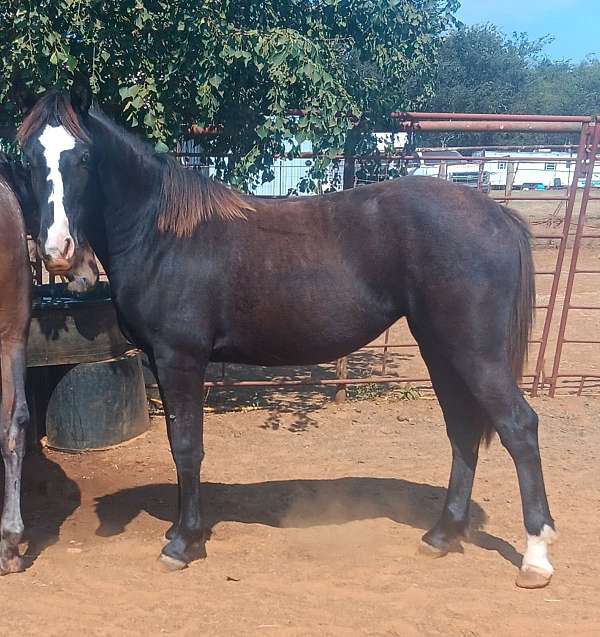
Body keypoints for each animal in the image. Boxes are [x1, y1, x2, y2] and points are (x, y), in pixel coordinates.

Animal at [16, 89, 556, 588]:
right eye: (29, 159)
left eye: (83, 158)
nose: (58, 251)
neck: (162, 236)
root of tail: (497, 216)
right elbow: (178, 443)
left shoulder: (179, 359)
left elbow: (187, 446)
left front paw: (184, 542)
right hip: (440, 349)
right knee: (462, 430)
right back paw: (443, 535)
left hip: (475, 354)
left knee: (519, 427)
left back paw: (535, 557)